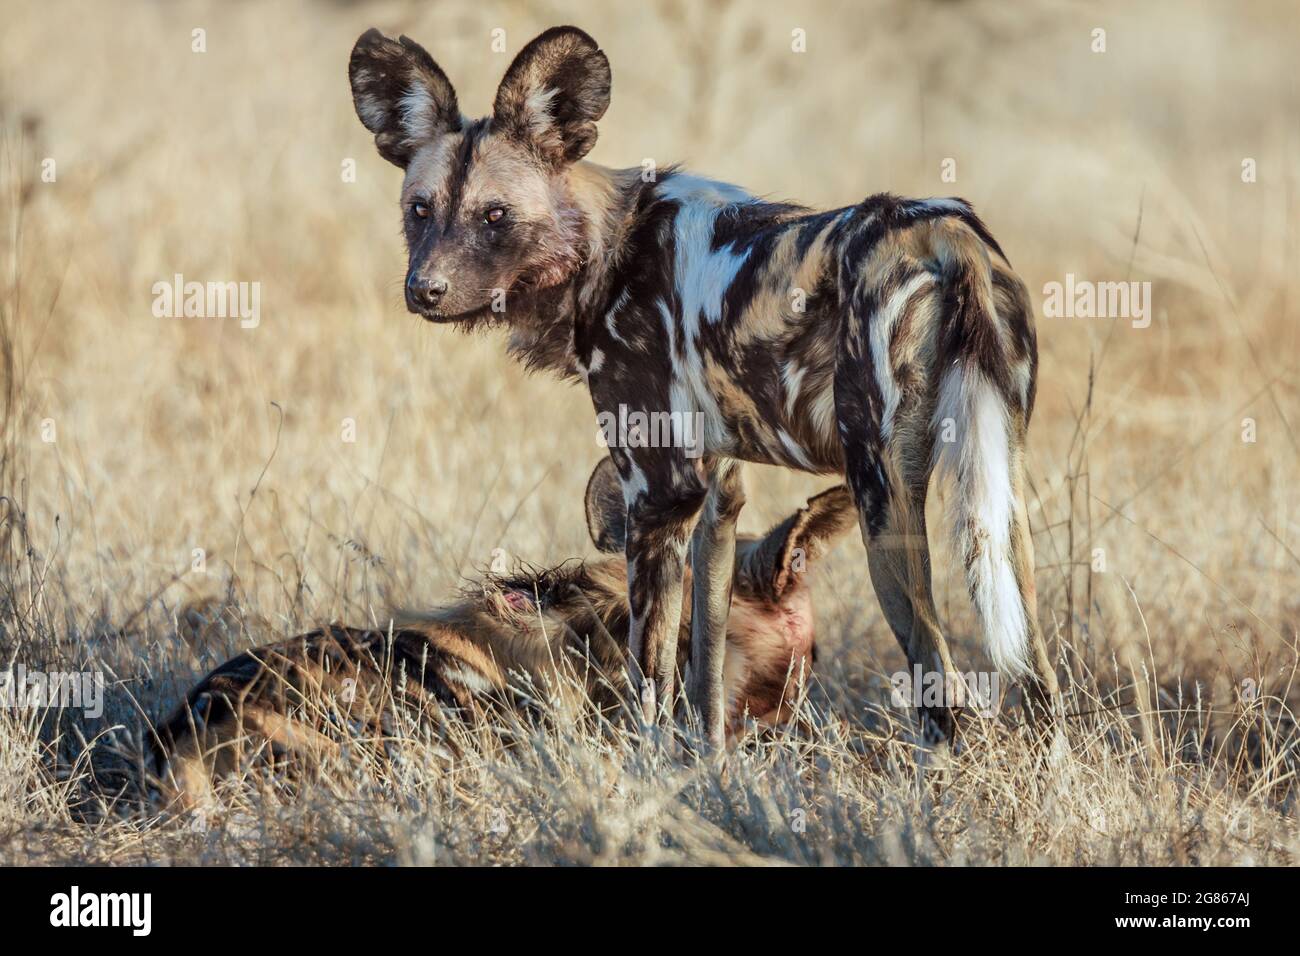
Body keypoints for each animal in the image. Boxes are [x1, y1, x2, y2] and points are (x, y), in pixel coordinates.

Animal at [348, 26, 1066, 749]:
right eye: (420, 211)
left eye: (495, 216)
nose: (424, 290)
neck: (605, 251)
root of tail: (942, 228)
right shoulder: (719, 492)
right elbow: (708, 671)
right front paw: (709, 762)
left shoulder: (659, 495)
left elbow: (651, 678)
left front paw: (648, 764)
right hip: (1003, 502)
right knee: (1038, 672)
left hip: (881, 498)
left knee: (937, 672)